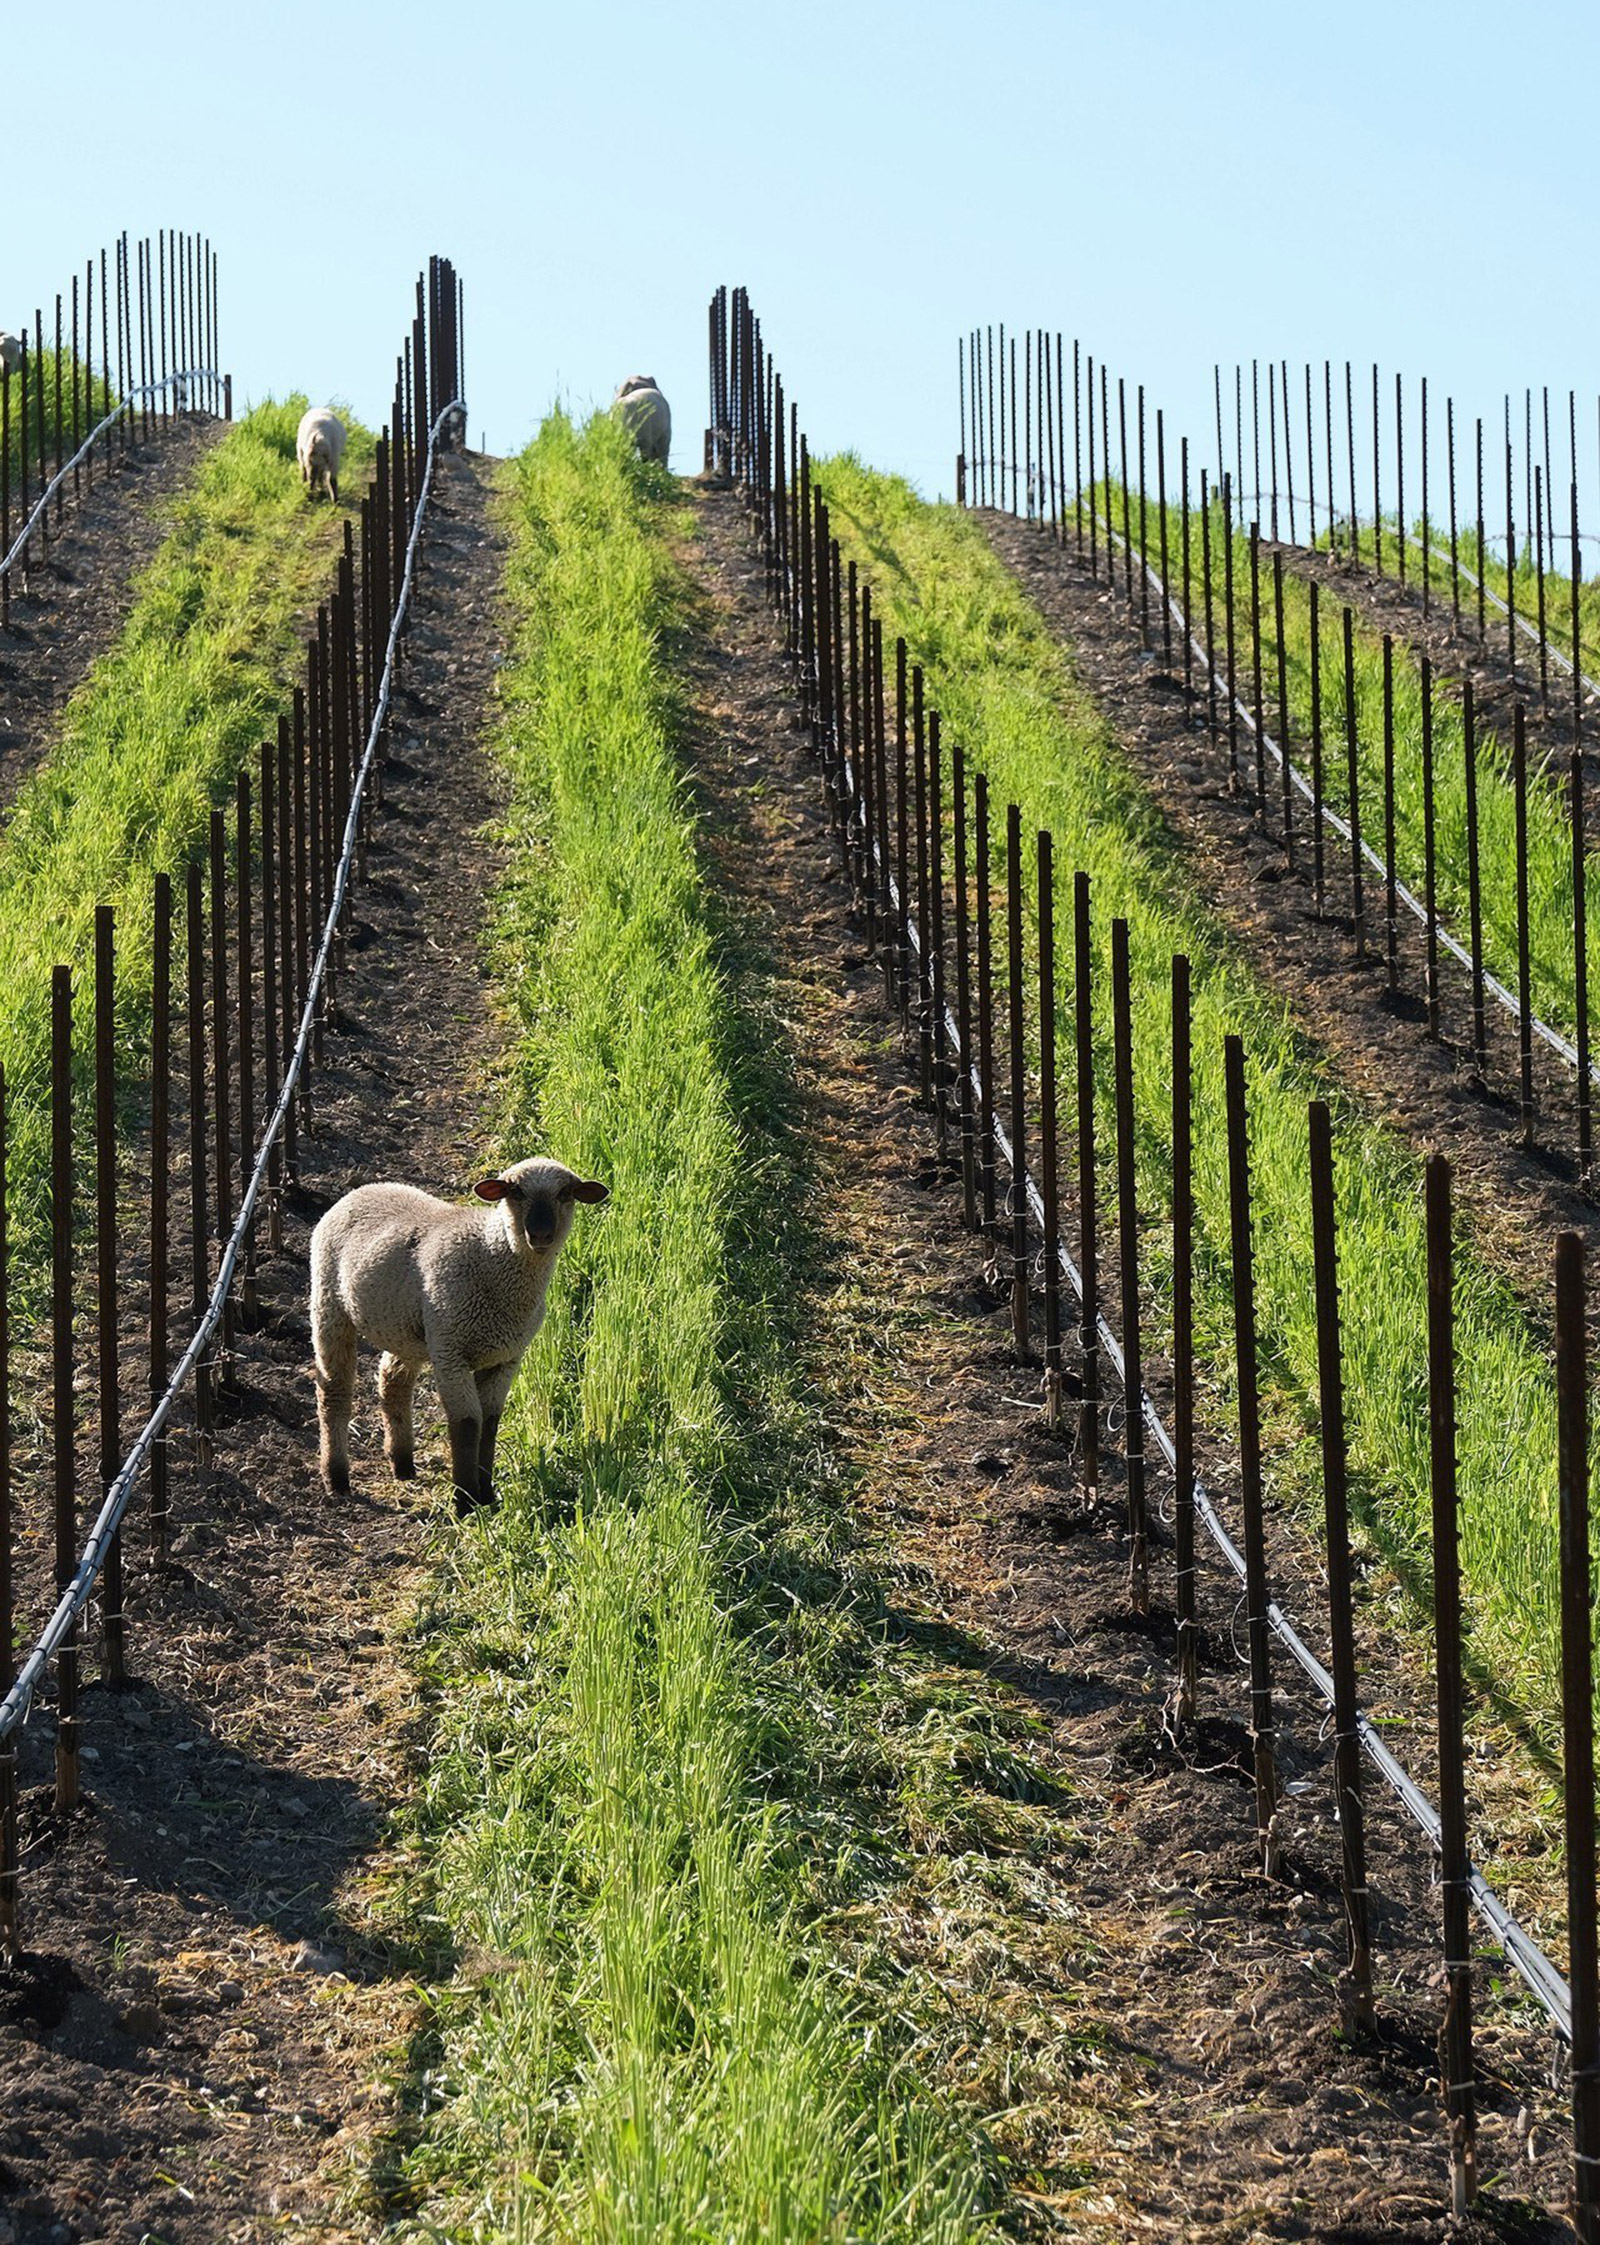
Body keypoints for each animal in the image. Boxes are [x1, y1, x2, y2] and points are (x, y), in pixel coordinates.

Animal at [309, 1158, 610, 1508]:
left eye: (565, 1194)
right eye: (516, 1192)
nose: (540, 1234)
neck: (489, 1255)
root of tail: (363, 1189)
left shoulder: (506, 1358)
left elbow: (490, 1423)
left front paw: (487, 1494)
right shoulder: (451, 1353)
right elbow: (467, 1423)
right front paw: (465, 1500)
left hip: (405, 1327)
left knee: (393, 1382)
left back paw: (402, 1464)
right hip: (329, 1304)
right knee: (333, 1391)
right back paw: (337, 1479)